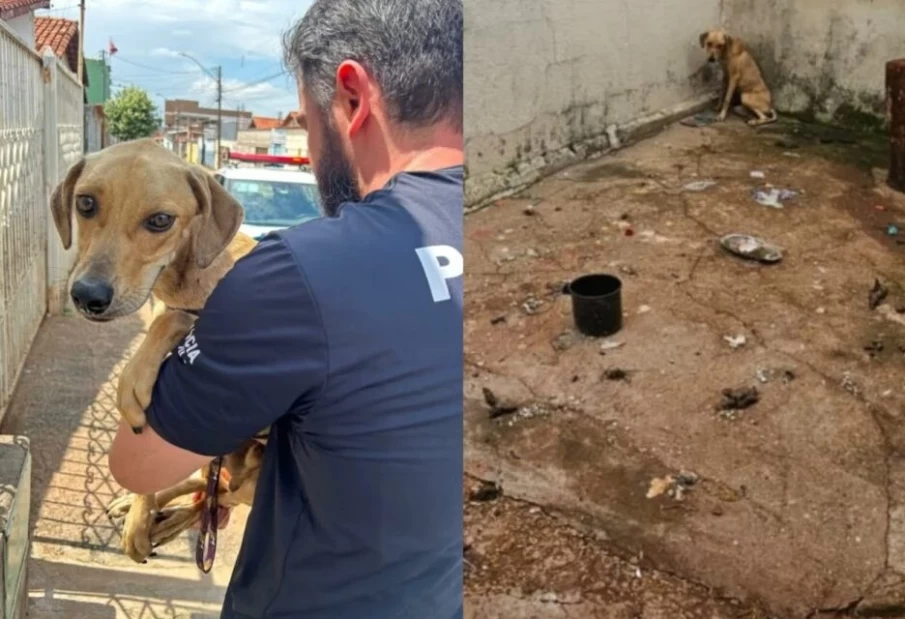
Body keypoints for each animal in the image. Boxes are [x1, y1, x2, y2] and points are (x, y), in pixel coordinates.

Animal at [50, 138, 266, 564]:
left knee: (219, 499)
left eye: (161, 220)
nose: (87, 296)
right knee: (210, 493)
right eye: (85, 203)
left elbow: (170, 322)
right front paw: (139, 515)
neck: (184, 282)